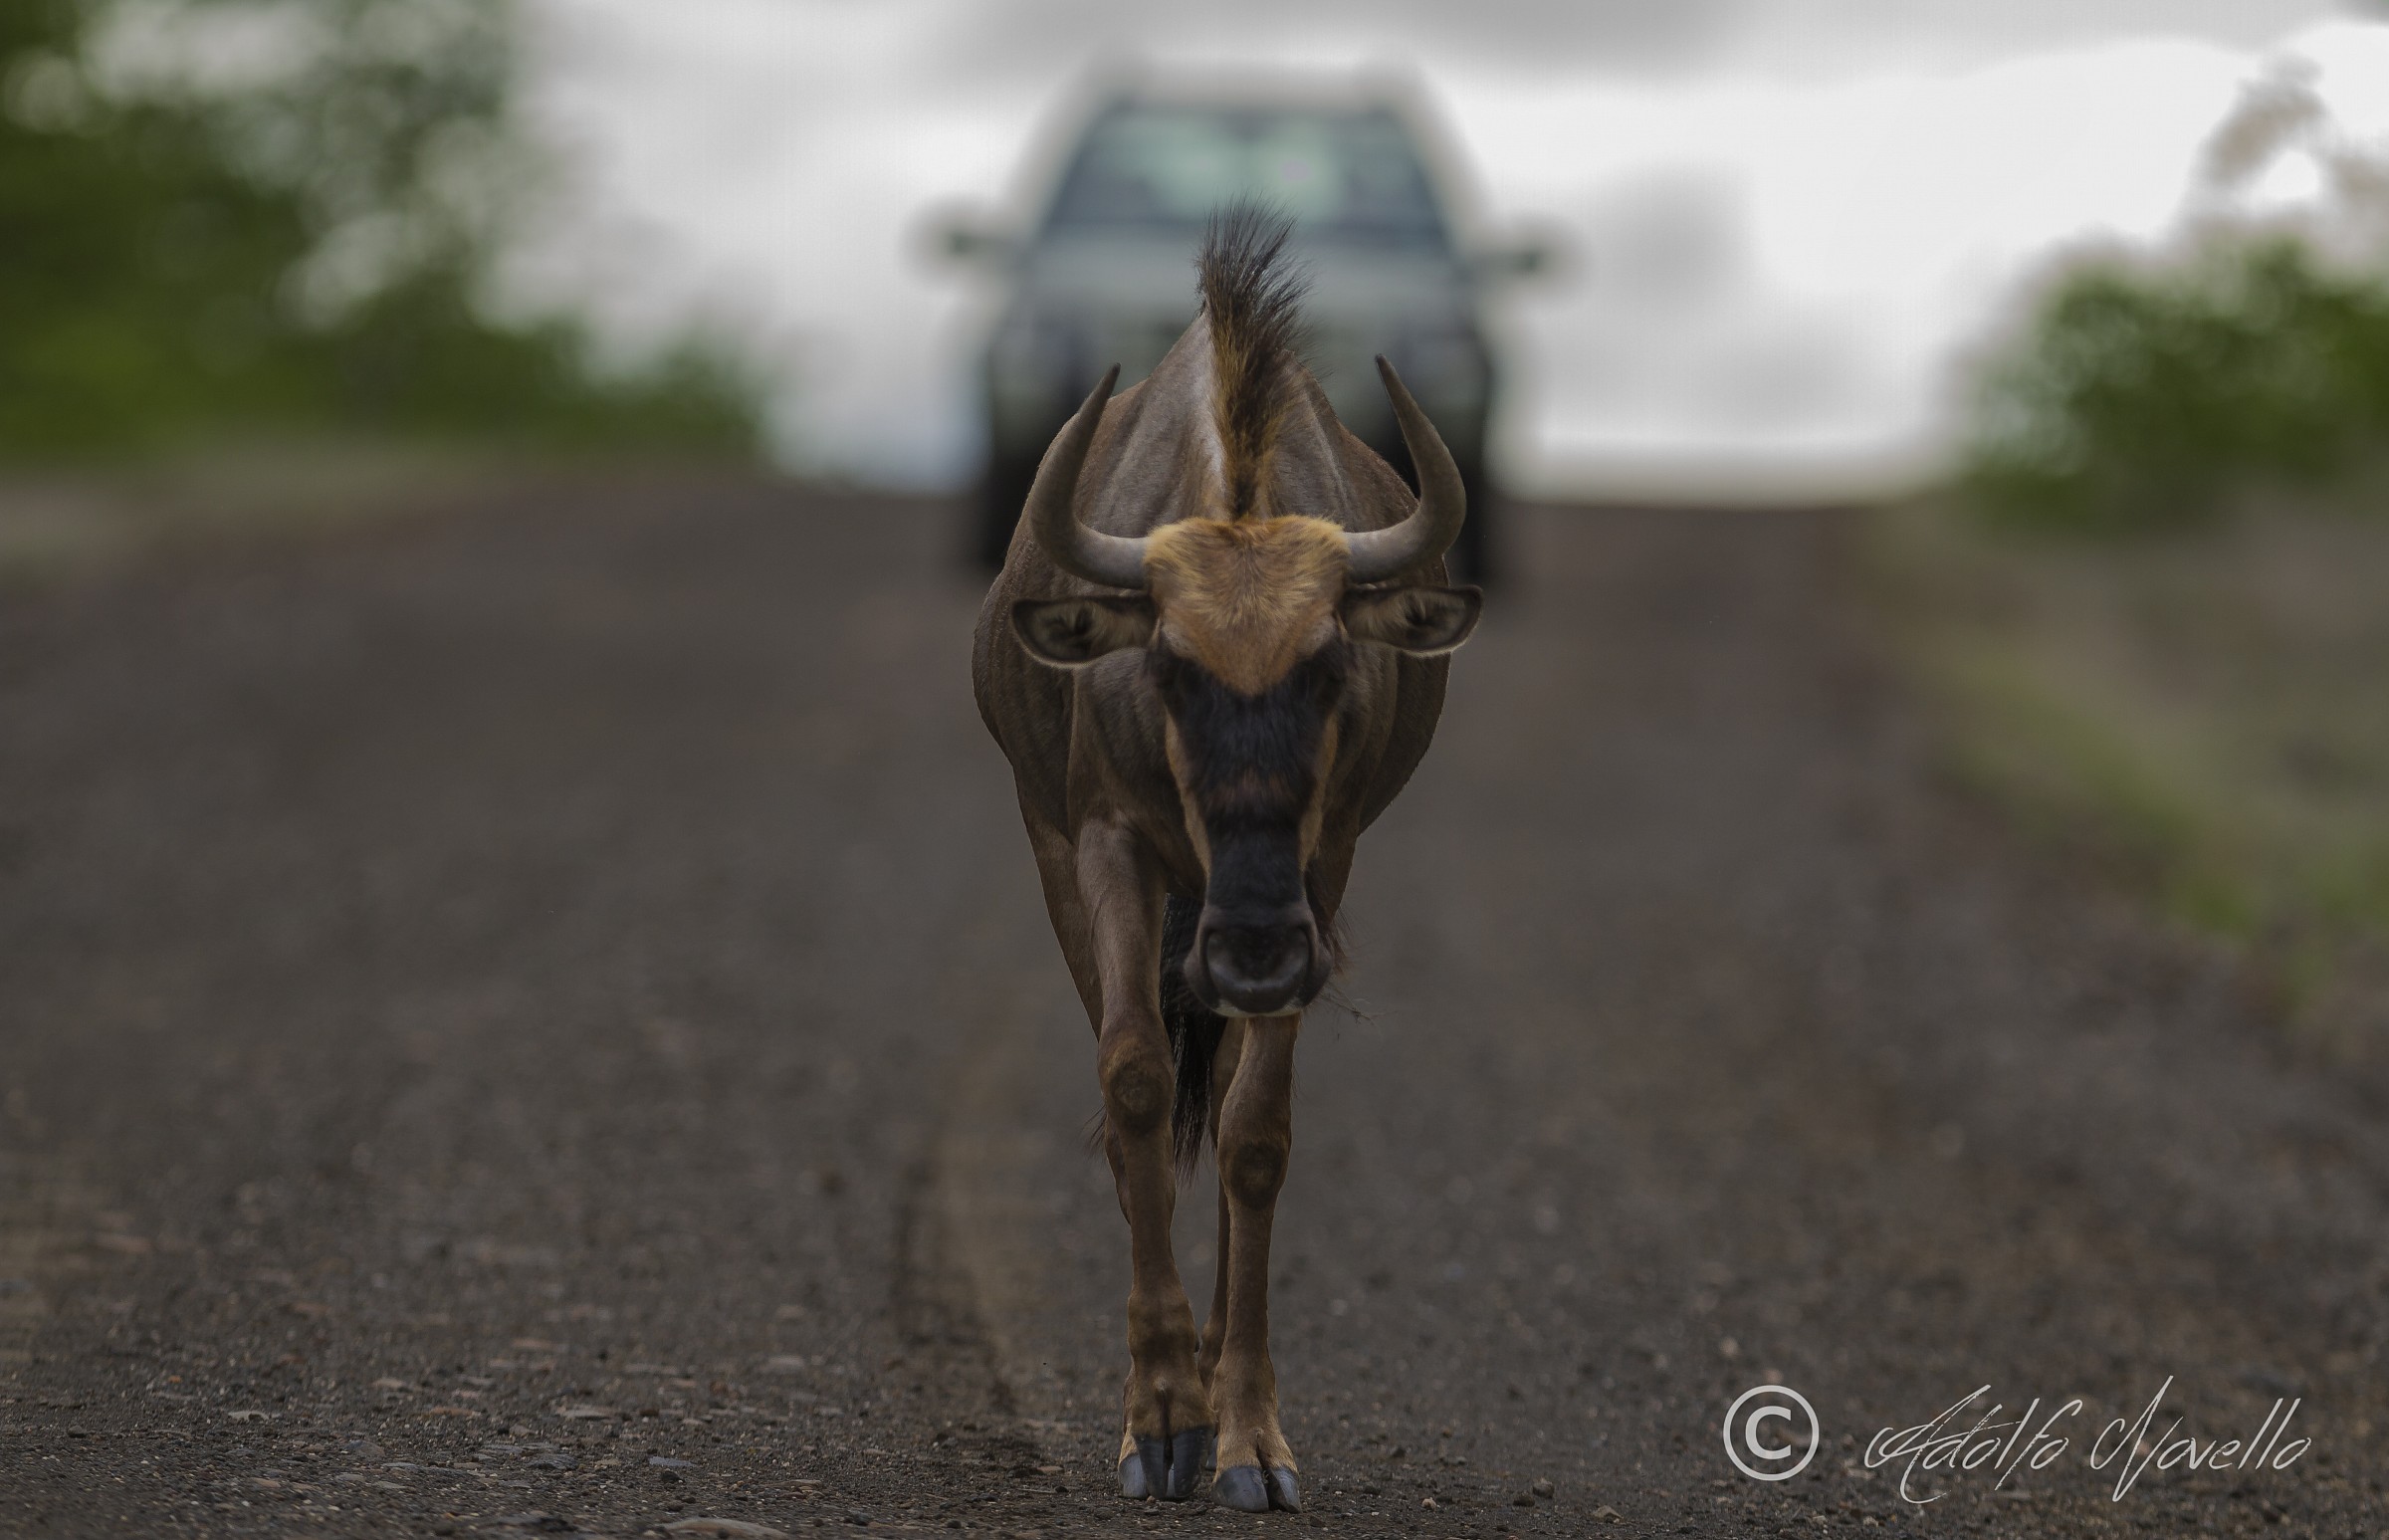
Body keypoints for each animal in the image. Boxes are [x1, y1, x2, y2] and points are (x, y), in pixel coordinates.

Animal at [970, 207, 1479, 1513]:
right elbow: (1135, 1082)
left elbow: (1256, 1134)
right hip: (1066, 859)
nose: (1251, 944)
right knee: (1130, 1101)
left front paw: (1244, 1433)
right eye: (1166, 666)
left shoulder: (1323, 871)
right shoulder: (1104, 843)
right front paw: (1158, 1418)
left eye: (1330, 663)